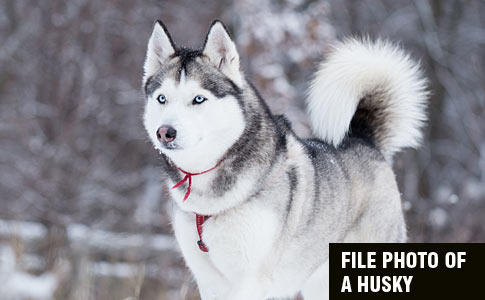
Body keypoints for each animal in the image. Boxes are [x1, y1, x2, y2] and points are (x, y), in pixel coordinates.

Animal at [141, 19, 428, 298]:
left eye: (198, 99)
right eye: (162, 98)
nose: (164, 132)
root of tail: (363, 139)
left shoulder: (252, 279)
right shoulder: (209, 281)